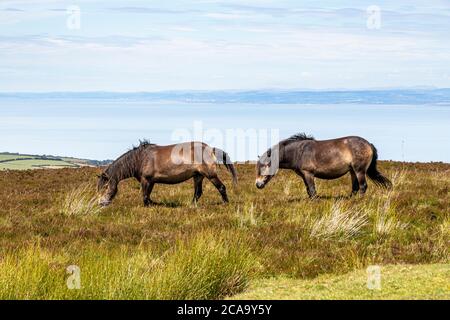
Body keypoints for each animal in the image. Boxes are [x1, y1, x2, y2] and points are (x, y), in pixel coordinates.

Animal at [98, 141, 237, 206]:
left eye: (105, 187)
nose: (101, 203)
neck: (140, 159)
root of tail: (210, 149)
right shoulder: (150, 181)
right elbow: (148, 196)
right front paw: (154, 204)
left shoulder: (146, 180)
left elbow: (145, 196)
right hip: (198, 176)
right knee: (197, 193)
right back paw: (191, 205)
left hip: (210, 175)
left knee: (221, 187)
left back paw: (225, 203)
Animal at [255, 133, 392, 198]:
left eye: (264, 167)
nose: (258, 184)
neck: (298, 152)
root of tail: (368, 144)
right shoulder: (304, 175)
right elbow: (308, 190)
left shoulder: (308, 174)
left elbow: (312, 190)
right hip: (353, 171)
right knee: (355, 187)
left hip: (360, 171)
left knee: (363, 186)